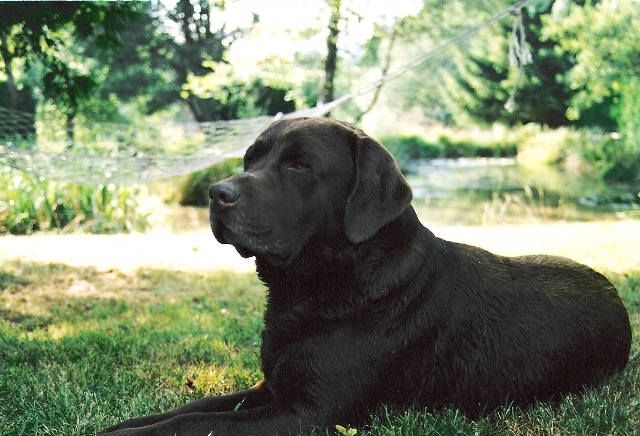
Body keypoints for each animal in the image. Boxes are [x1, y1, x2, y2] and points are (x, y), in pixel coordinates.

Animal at [102, 117, 632, 434]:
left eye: (300, 165)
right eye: (251, 157)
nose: (216, 192)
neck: (323, 290)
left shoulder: (309, 412)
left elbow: (191, 426)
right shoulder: (270, 388)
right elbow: (186, 411)